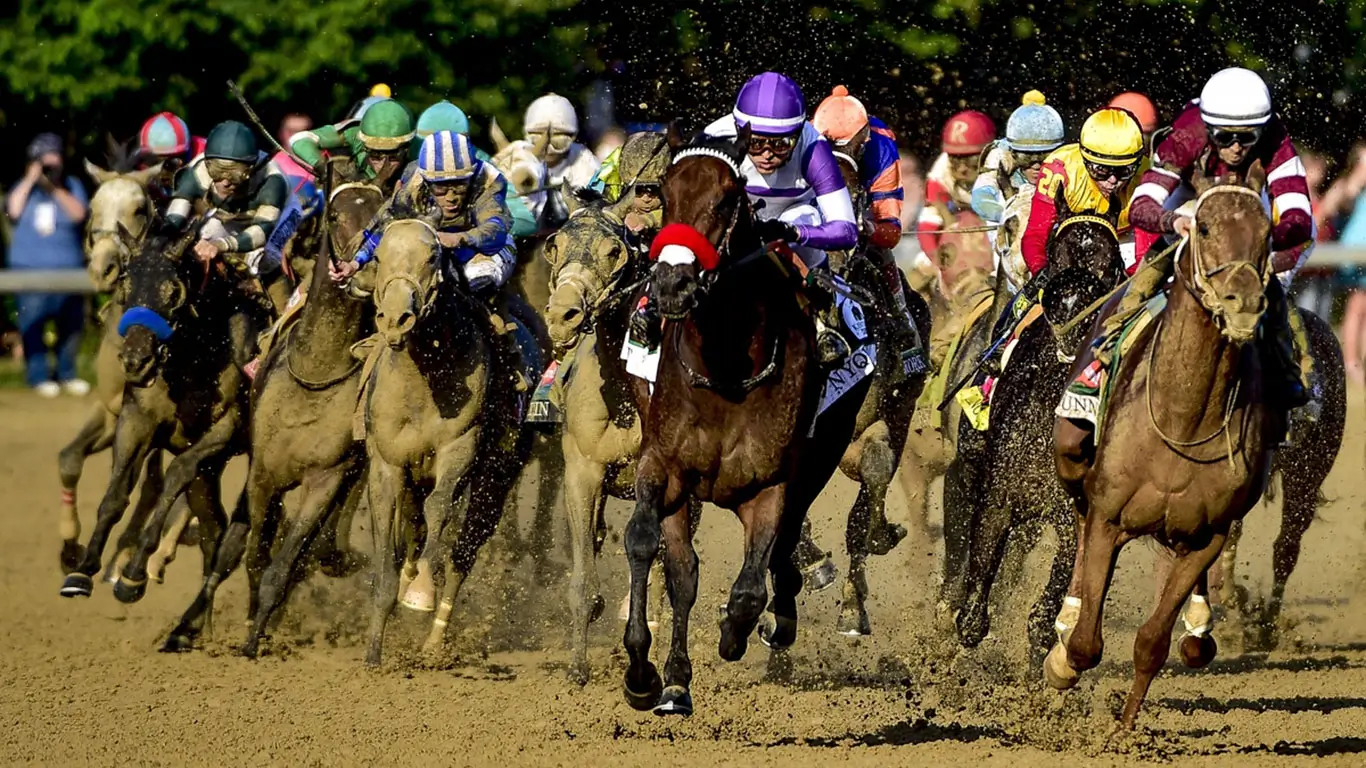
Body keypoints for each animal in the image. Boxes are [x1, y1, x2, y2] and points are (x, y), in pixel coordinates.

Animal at [59, 223, 252, 606]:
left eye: (173, 290)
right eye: (127, 285)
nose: (135, 360)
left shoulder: (222, 430)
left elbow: (174, 477)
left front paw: (132, 574)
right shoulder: (135, 420)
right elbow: (116, 494)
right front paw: (83, 569)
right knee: (214, 530)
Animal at [358, 218, 532, 666]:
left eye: (433, 256)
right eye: (379, 255)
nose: (396, 319)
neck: (424, 376)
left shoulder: (460, 448)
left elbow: (439, 511)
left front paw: (420, 592)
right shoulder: (387, 464)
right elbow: (390, 539)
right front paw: (373, 650)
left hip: (496, 478)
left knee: (463, 552)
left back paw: (435, 640)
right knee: (415, 528)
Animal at [621, 126, 872, 715]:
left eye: (727, 199)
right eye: (665, 193)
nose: (672, 286)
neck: (726, 368)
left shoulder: (770, 484)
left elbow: (750, 587)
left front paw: (739, 632)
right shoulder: (661, 463)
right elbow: (646, 542)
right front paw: (644, 672)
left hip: (824, 452)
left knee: (781, 549)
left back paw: (779, 619)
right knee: (683, 567)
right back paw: (675, 682)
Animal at [949, 216, 1124, 661]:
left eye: (1109, 263)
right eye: (1056, 254)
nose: (1070, 311)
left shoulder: (1073, 518)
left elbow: (1045, 617)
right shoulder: (996, 496)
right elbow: (972, 613)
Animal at [1049, 164, 1283, 731]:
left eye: (1267, 234)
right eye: (1204, 226)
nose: (1244, 304)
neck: (1183, 419)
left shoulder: (1209, 536)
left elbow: (1152, 642)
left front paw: (1123, 731)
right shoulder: (1110, 516)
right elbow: (1085, 645)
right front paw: (1062, 662)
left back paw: (1199, 626)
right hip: (1073, 457)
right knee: (1079, 519)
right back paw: (1067, 617)